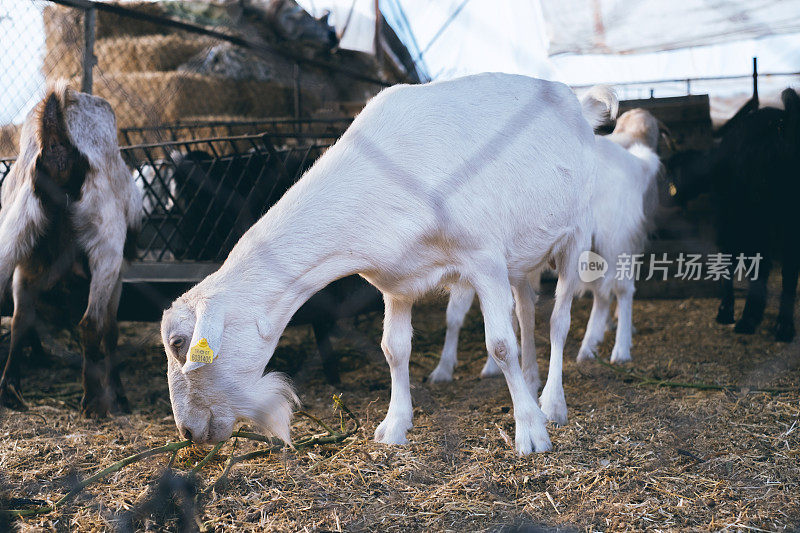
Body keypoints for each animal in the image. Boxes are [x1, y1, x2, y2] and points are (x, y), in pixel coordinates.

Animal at [0, 84, 142, 416]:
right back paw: (93, 401)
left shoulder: (27, 267)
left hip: (14, 230)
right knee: (91, 323)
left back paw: (10, 392)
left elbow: (21, 319)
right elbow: (110, 329)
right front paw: (119, 394)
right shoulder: (117, 273)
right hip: (105, 244)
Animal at [159, 71, 616, 454]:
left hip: (575, 234)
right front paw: (394, 427)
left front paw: (530, 431)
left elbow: (500, 345)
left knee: (558, 320)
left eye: (180, 344)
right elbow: (393, 349)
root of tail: (580, 105)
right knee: (526, 310)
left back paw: (551, 403)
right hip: (521, 257)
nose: (188, 431)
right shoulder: (397, 283)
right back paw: (534, 381)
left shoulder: (484, 259)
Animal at [432, 106, 664, 384]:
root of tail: (634, 163)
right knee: (601, 292)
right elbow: (457, 314)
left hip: (616, 239)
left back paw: (620, 350)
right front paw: (445, 369)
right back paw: (588, 348)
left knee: (623, 289)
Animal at [668, 87, 800, 340]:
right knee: (788, 267)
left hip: (763, 218)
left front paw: (727, 310)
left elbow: (729, 258)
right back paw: (783, 325)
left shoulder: (728, 217)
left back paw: (755, 320)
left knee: (774, 265)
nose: (671, 201)